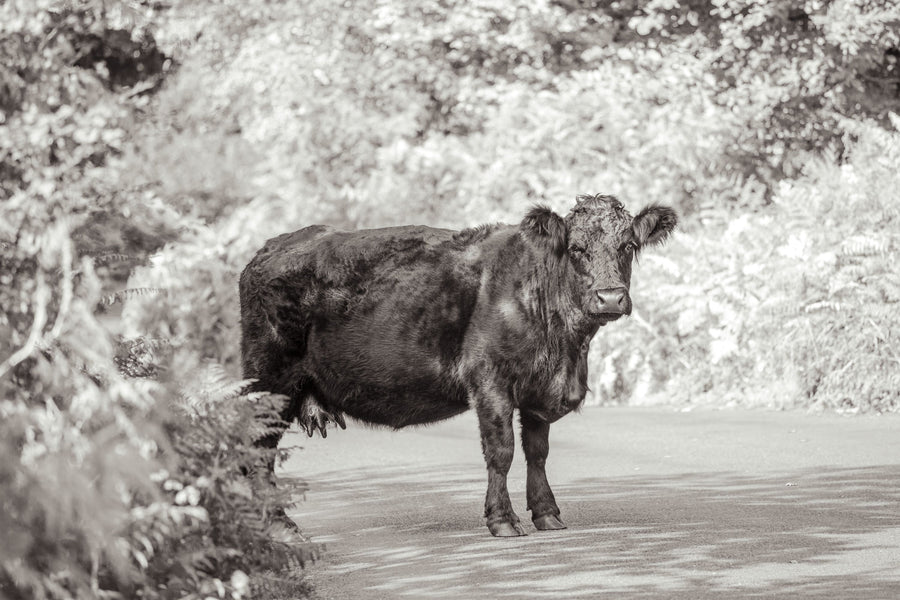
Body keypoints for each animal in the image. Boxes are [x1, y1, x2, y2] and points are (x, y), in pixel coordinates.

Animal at [239, 194, 677, 537]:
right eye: (577, 249)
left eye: (628, 246)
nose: (610, 297)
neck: (566, 350)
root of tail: (271, 248)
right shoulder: (490, 381)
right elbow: (502, 451)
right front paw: (502, 520)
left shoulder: (538, 391)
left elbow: (538, 452)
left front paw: (547, 514)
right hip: (269, 381)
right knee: (258, 450)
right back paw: (279, 525)